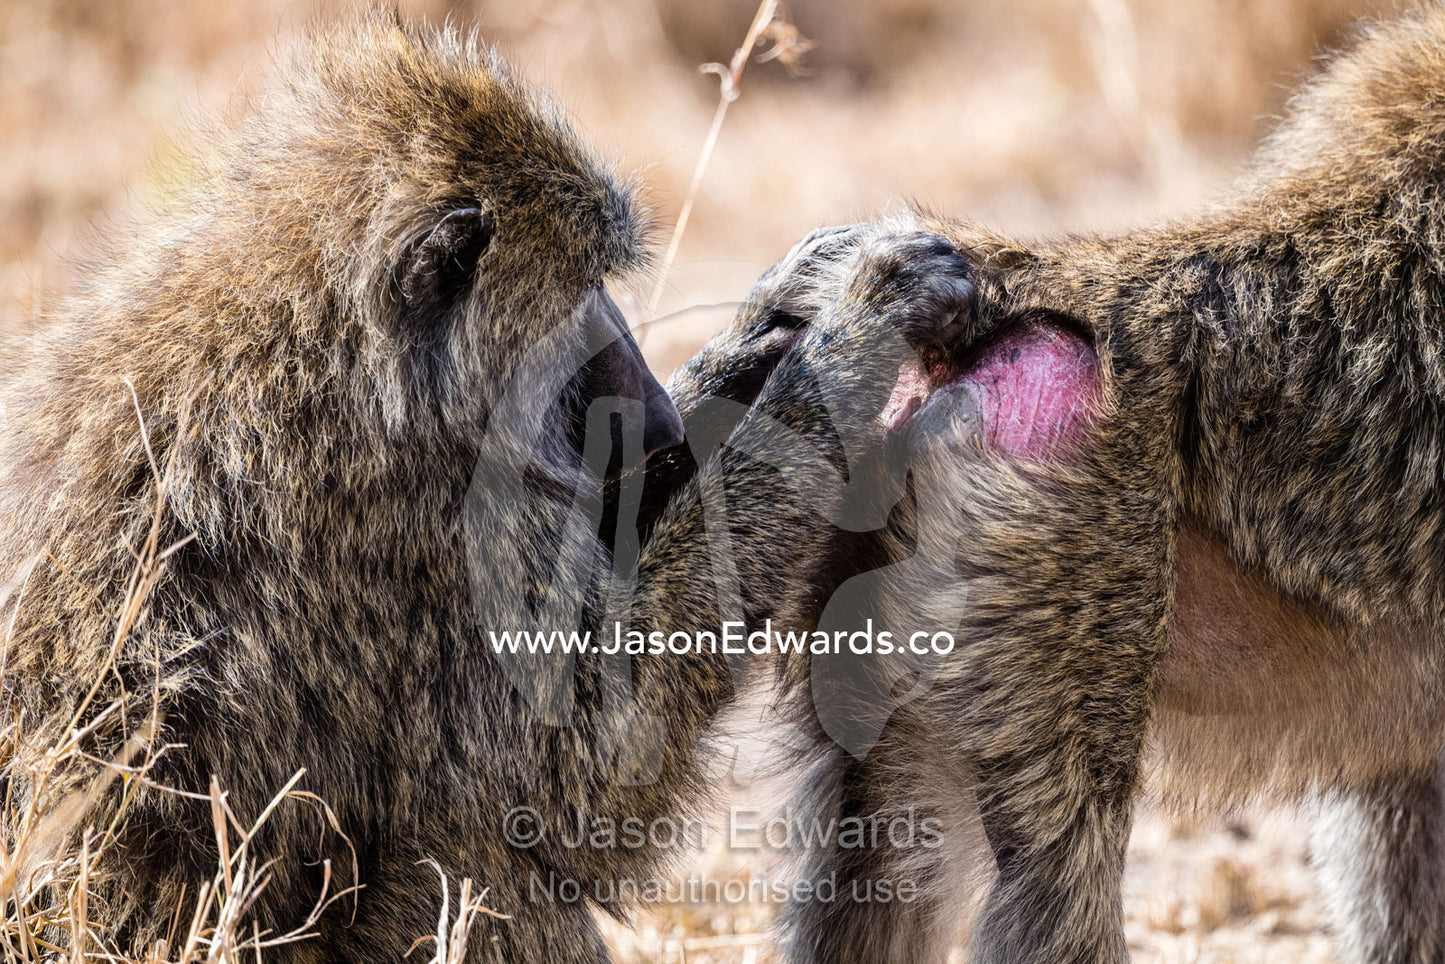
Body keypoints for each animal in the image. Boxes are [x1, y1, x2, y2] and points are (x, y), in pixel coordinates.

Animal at [0, 12, 973, 962]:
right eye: (583, 288)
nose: (658, 418)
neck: (346, 353)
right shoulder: (433, 525)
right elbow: (580, 774)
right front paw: (859, 328)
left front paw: (775, 324)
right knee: (480, 855)